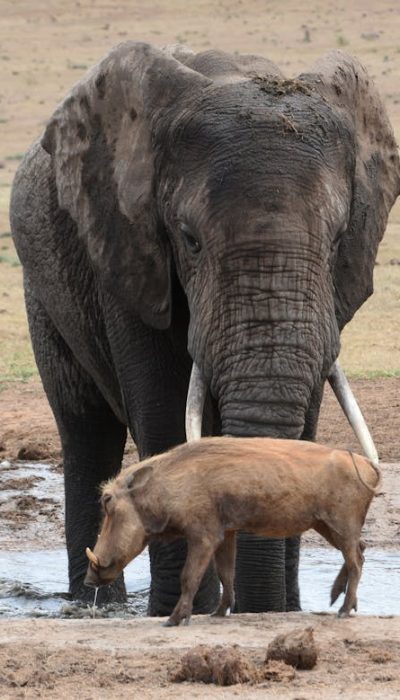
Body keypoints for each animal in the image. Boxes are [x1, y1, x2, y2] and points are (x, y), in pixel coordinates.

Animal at [10, 42, 400, 612]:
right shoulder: (130, 254)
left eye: (335, 241)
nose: (261, 606)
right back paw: (96, 606)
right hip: (43, 289)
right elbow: (167, 413)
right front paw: (183, 611)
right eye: (189, 239)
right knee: (84, 426)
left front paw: (277, 612)